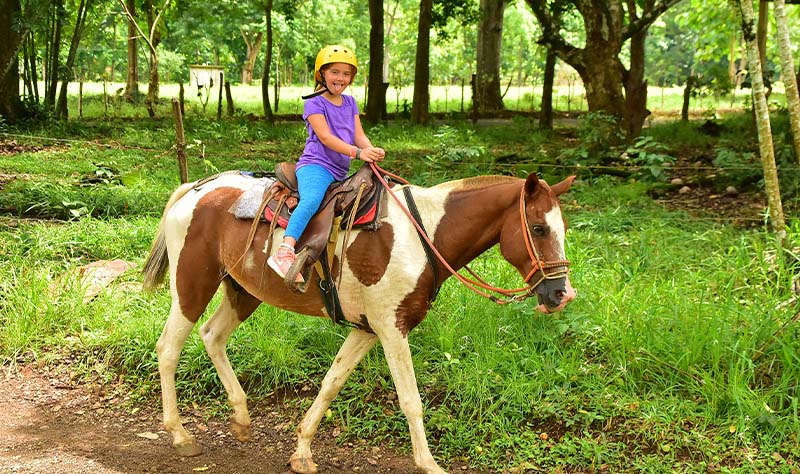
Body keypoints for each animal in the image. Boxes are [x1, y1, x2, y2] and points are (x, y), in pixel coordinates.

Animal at [142, 170, 576, 474]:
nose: (562, 294)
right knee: (168, 349)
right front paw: (427, 462)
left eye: (563, 229)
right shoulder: (392, 328)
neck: (423, 236)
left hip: (242, 290)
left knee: (212, 336)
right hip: (192, 284)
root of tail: (194, 189)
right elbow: (410, 399)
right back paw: (180, 435)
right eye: (538, 228)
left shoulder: (367, 329)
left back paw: (241, 419)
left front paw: (302, 451)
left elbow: (331, 384)